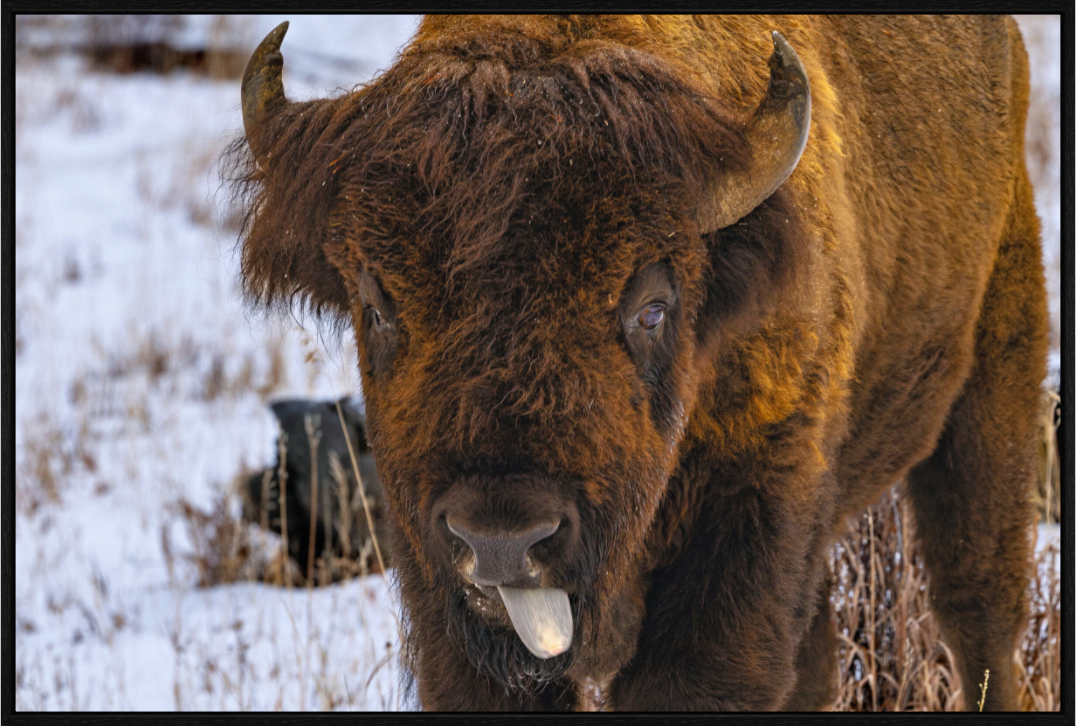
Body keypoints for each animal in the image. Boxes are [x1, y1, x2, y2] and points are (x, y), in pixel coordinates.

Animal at [228, 15, 1047, 710]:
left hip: (992, 392)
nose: (502, 541)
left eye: (651, 307)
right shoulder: (434, 582)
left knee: (978, 610)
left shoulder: (746, 532)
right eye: (378, 305)